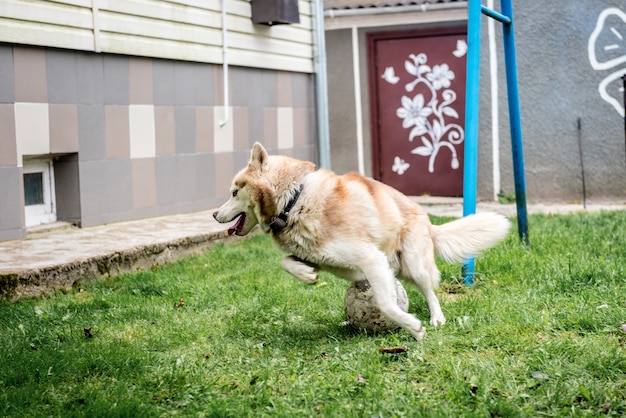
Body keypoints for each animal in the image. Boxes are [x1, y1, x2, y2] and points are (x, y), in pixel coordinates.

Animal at [212, 143, 510, 340]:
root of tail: (427, 220)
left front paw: (413, 328)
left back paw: (436, 318)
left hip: (413, 265)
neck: (294, 203)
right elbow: (286, 262)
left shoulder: (372, 259)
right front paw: (306, 275)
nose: (214, 214)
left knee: (430, 292)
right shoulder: (324, 257)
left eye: (234, 192)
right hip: (397, 269)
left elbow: (387, 304)